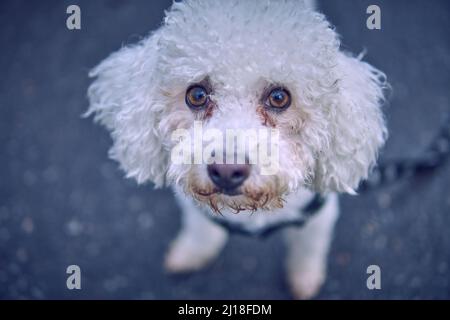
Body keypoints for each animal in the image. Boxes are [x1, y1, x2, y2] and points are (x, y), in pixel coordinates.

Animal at [87, 0, 386, 300]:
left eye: (279, 97)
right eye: (197, 95)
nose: (227, 171)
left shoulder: (318, 218)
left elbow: (308, 248)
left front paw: (304, 278)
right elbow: (201, 230)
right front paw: (192, 253)